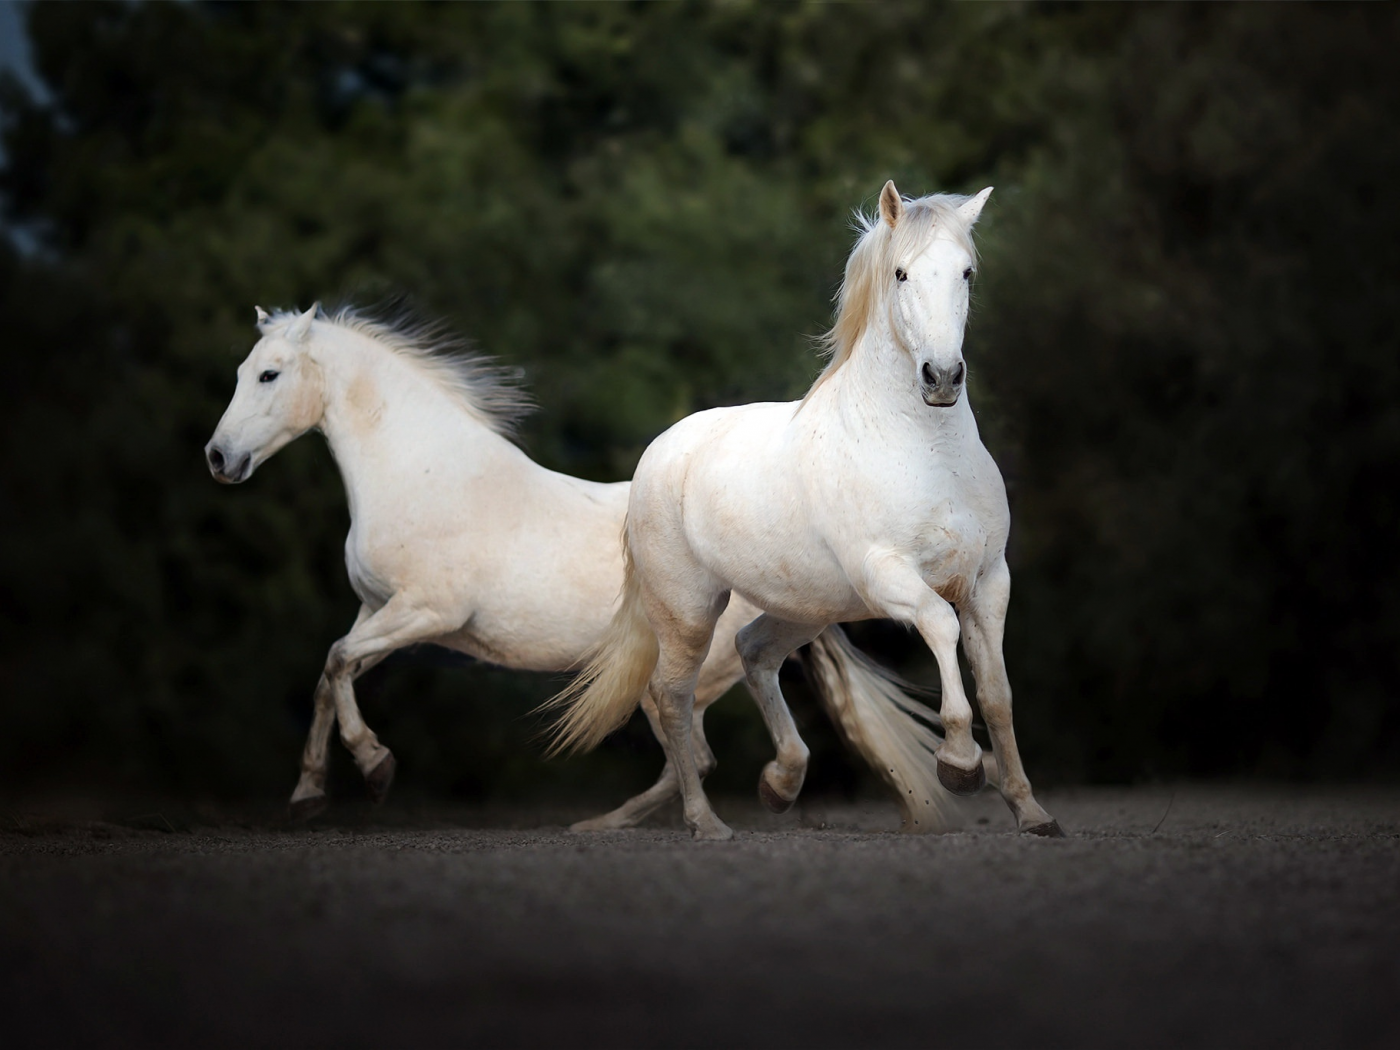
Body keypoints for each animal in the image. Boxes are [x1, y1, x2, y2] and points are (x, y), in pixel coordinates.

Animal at [203, 302, 957, 828]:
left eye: (268, 374)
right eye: (240, 372)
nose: (218, 458)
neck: (424, 475)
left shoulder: (425, 612)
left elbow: (334, 661)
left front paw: (377, 766)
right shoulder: (376, 609)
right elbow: (329, 675)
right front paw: (308, 795)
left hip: (678, 673)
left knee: (693, 753)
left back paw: (614, 825)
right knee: (691, 756)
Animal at [551, 184, 1052, 845]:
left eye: (967, 272)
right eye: (900, 273)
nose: (942, 378)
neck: (929, 452)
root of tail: (658, 455)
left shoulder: (989, 581)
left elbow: (997, 692)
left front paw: (1031, 811)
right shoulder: (891, 577)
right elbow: (941, 628)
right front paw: (960, 764)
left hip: (805, 608)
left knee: (755, 652)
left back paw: (782, 782)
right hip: (688, 611)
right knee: (672, 696)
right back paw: (706, 822)